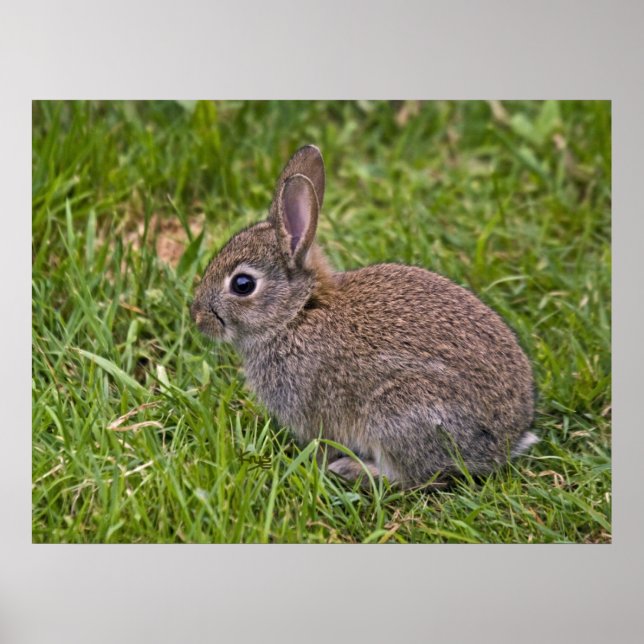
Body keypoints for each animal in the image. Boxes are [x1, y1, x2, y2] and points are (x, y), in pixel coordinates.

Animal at [190, 144, 537, 488]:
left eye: (243, 285)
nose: (197, 318)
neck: (295, 313)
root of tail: (503, 443)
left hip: (400, 412)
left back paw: (352, 470)